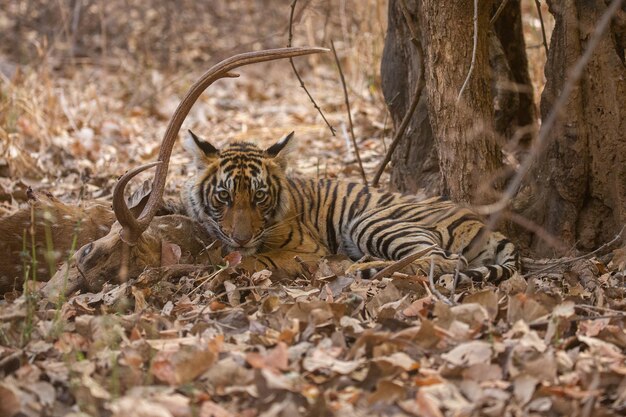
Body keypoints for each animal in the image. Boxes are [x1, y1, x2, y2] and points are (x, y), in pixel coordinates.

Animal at [179, 132, 516, 284]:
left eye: (260, 196)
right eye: (224, 196)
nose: (242, 238)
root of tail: (483, 223)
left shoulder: (308, 250)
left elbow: (251, 259)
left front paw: (221, 263)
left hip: (372, 222)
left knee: (444, 260)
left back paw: (357, 267)